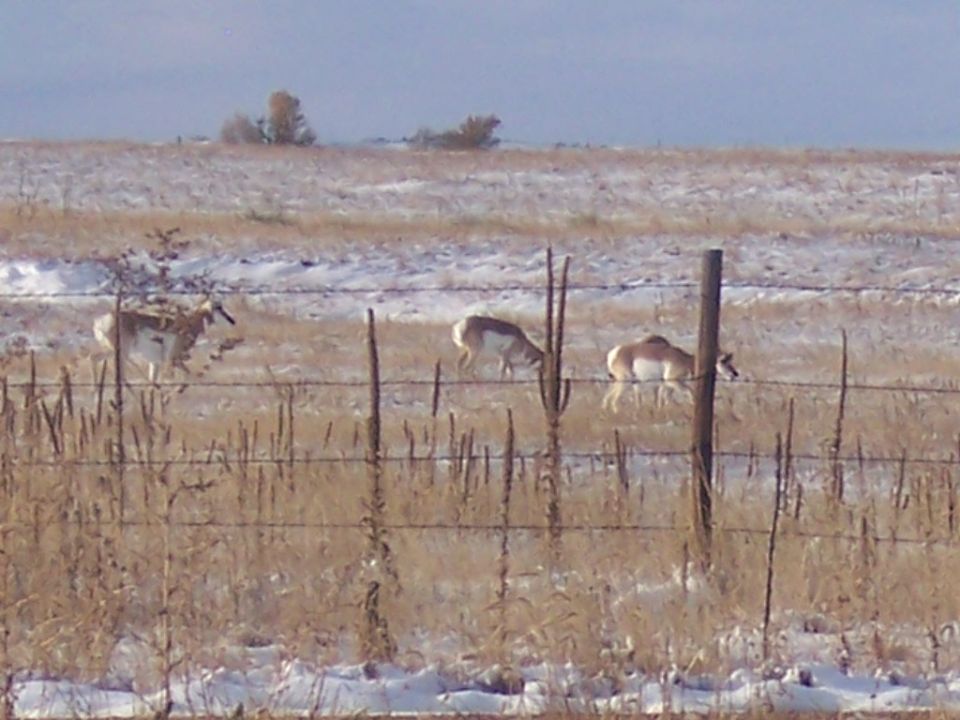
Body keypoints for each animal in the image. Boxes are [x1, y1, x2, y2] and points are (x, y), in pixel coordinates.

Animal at [92, 297, 236, 383]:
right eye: (218, 307)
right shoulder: (173, 360)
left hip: (110, 351)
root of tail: (101, 321)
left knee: (92, 358)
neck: (188, 324)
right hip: (121, 353)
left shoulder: (155, 363)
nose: (232, 321)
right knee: (119, 375)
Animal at [602, 334, 738, 412]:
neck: (686, 360)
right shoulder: (672, 381)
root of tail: (615, 352)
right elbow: (690, 393)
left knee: (607, 397)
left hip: (622, 382)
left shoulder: (666, 385)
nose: (735, 374)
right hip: (624, 382)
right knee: (614, 400)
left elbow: (663, 400)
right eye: (723, 361)